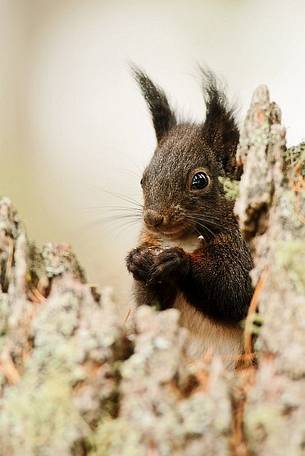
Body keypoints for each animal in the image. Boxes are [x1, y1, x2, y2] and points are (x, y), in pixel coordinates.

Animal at [124, 67, 253, 366]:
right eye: (143, 180)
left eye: (199, 180)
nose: (153, 218)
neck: (185, 238)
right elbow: (149, 306)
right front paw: (137, 261)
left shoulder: (242, 243)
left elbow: (236, 284)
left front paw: (178, 262)